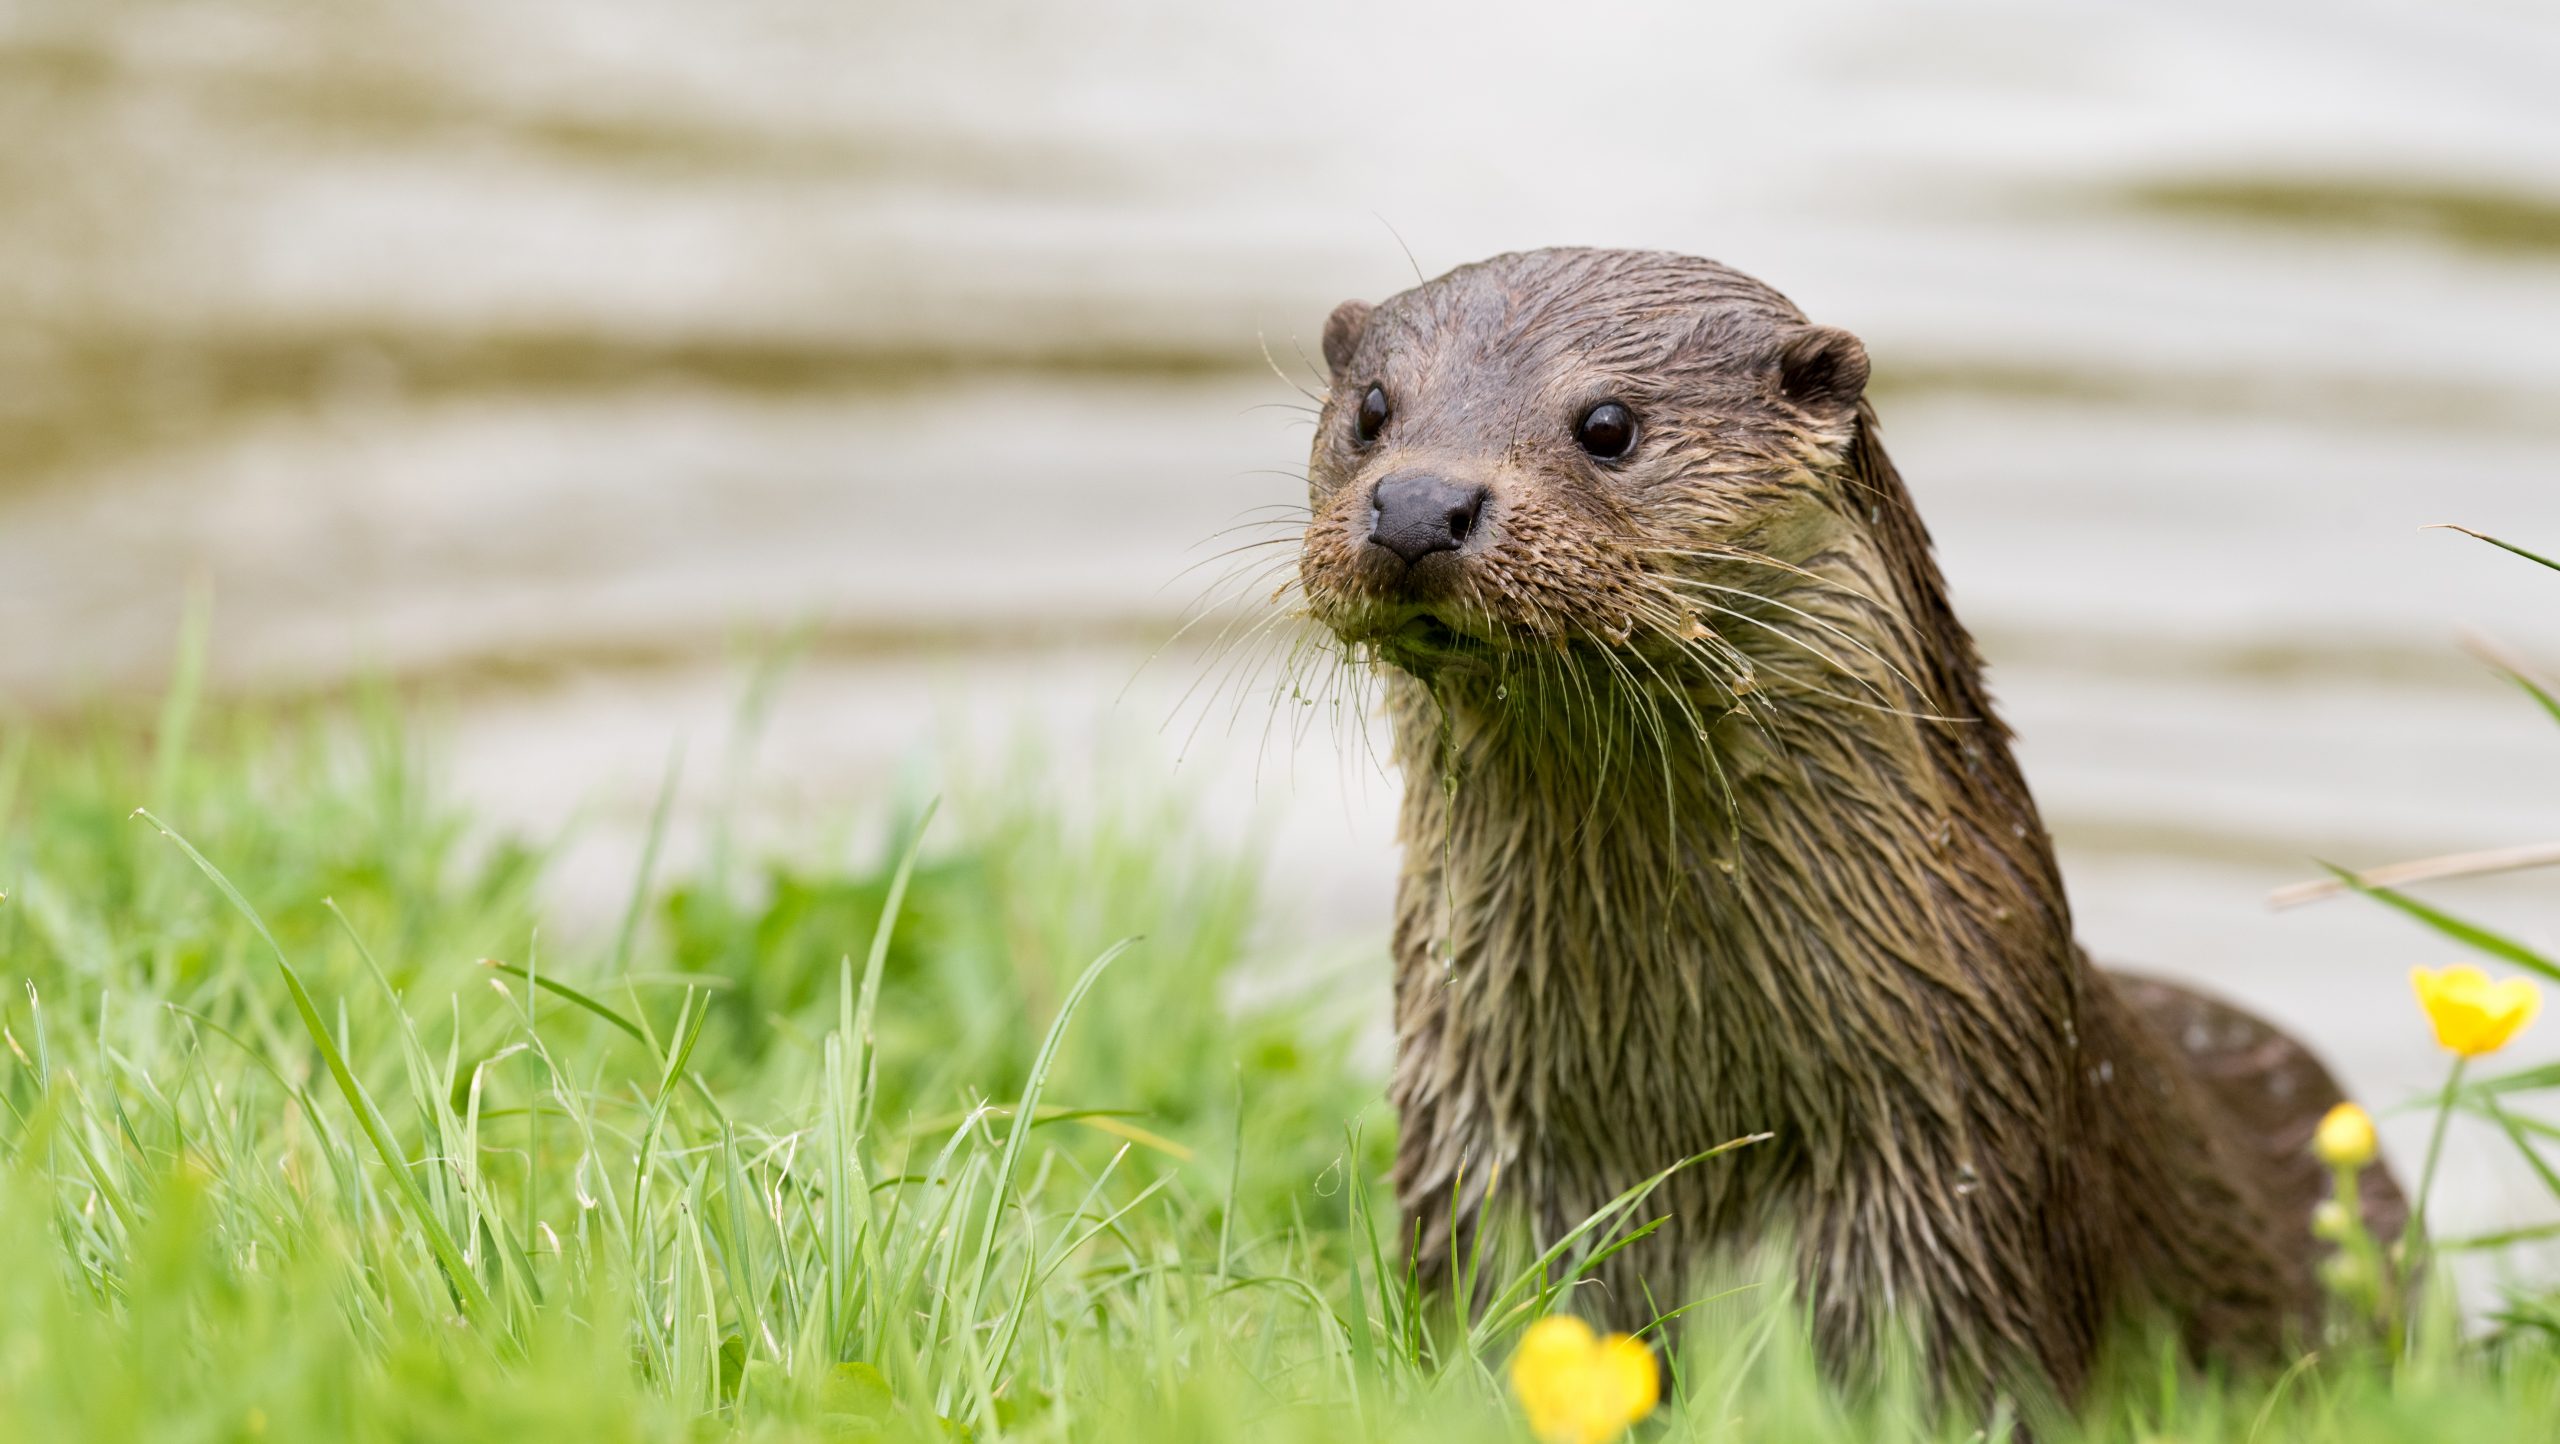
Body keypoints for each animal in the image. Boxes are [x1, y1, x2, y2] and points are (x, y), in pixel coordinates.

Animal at [1290, 248, 2406, 1403]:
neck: (1687, 1103)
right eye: (1372, 408)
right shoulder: (1478, 1148)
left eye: (1607, 423)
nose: (1420, 504)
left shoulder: (1949, 1187)